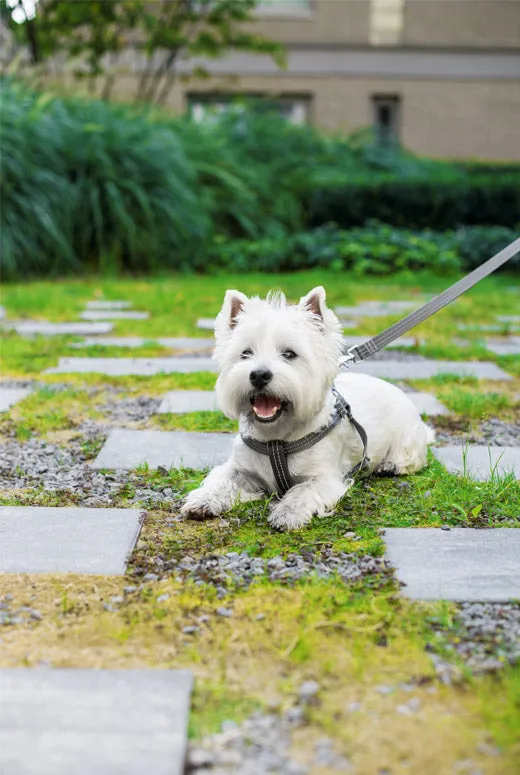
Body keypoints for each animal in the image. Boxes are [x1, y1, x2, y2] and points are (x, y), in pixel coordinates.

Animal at [181, 288, 432, 532]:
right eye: (245, 353)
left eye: (289, 354)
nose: (259, 375)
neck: (276, 438)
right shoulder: (240, 469)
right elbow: (221, 480)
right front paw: (203, 500)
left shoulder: (325, 477)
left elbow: (303, 491)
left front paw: (287, 513)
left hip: (407, 437)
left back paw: (389, 465)